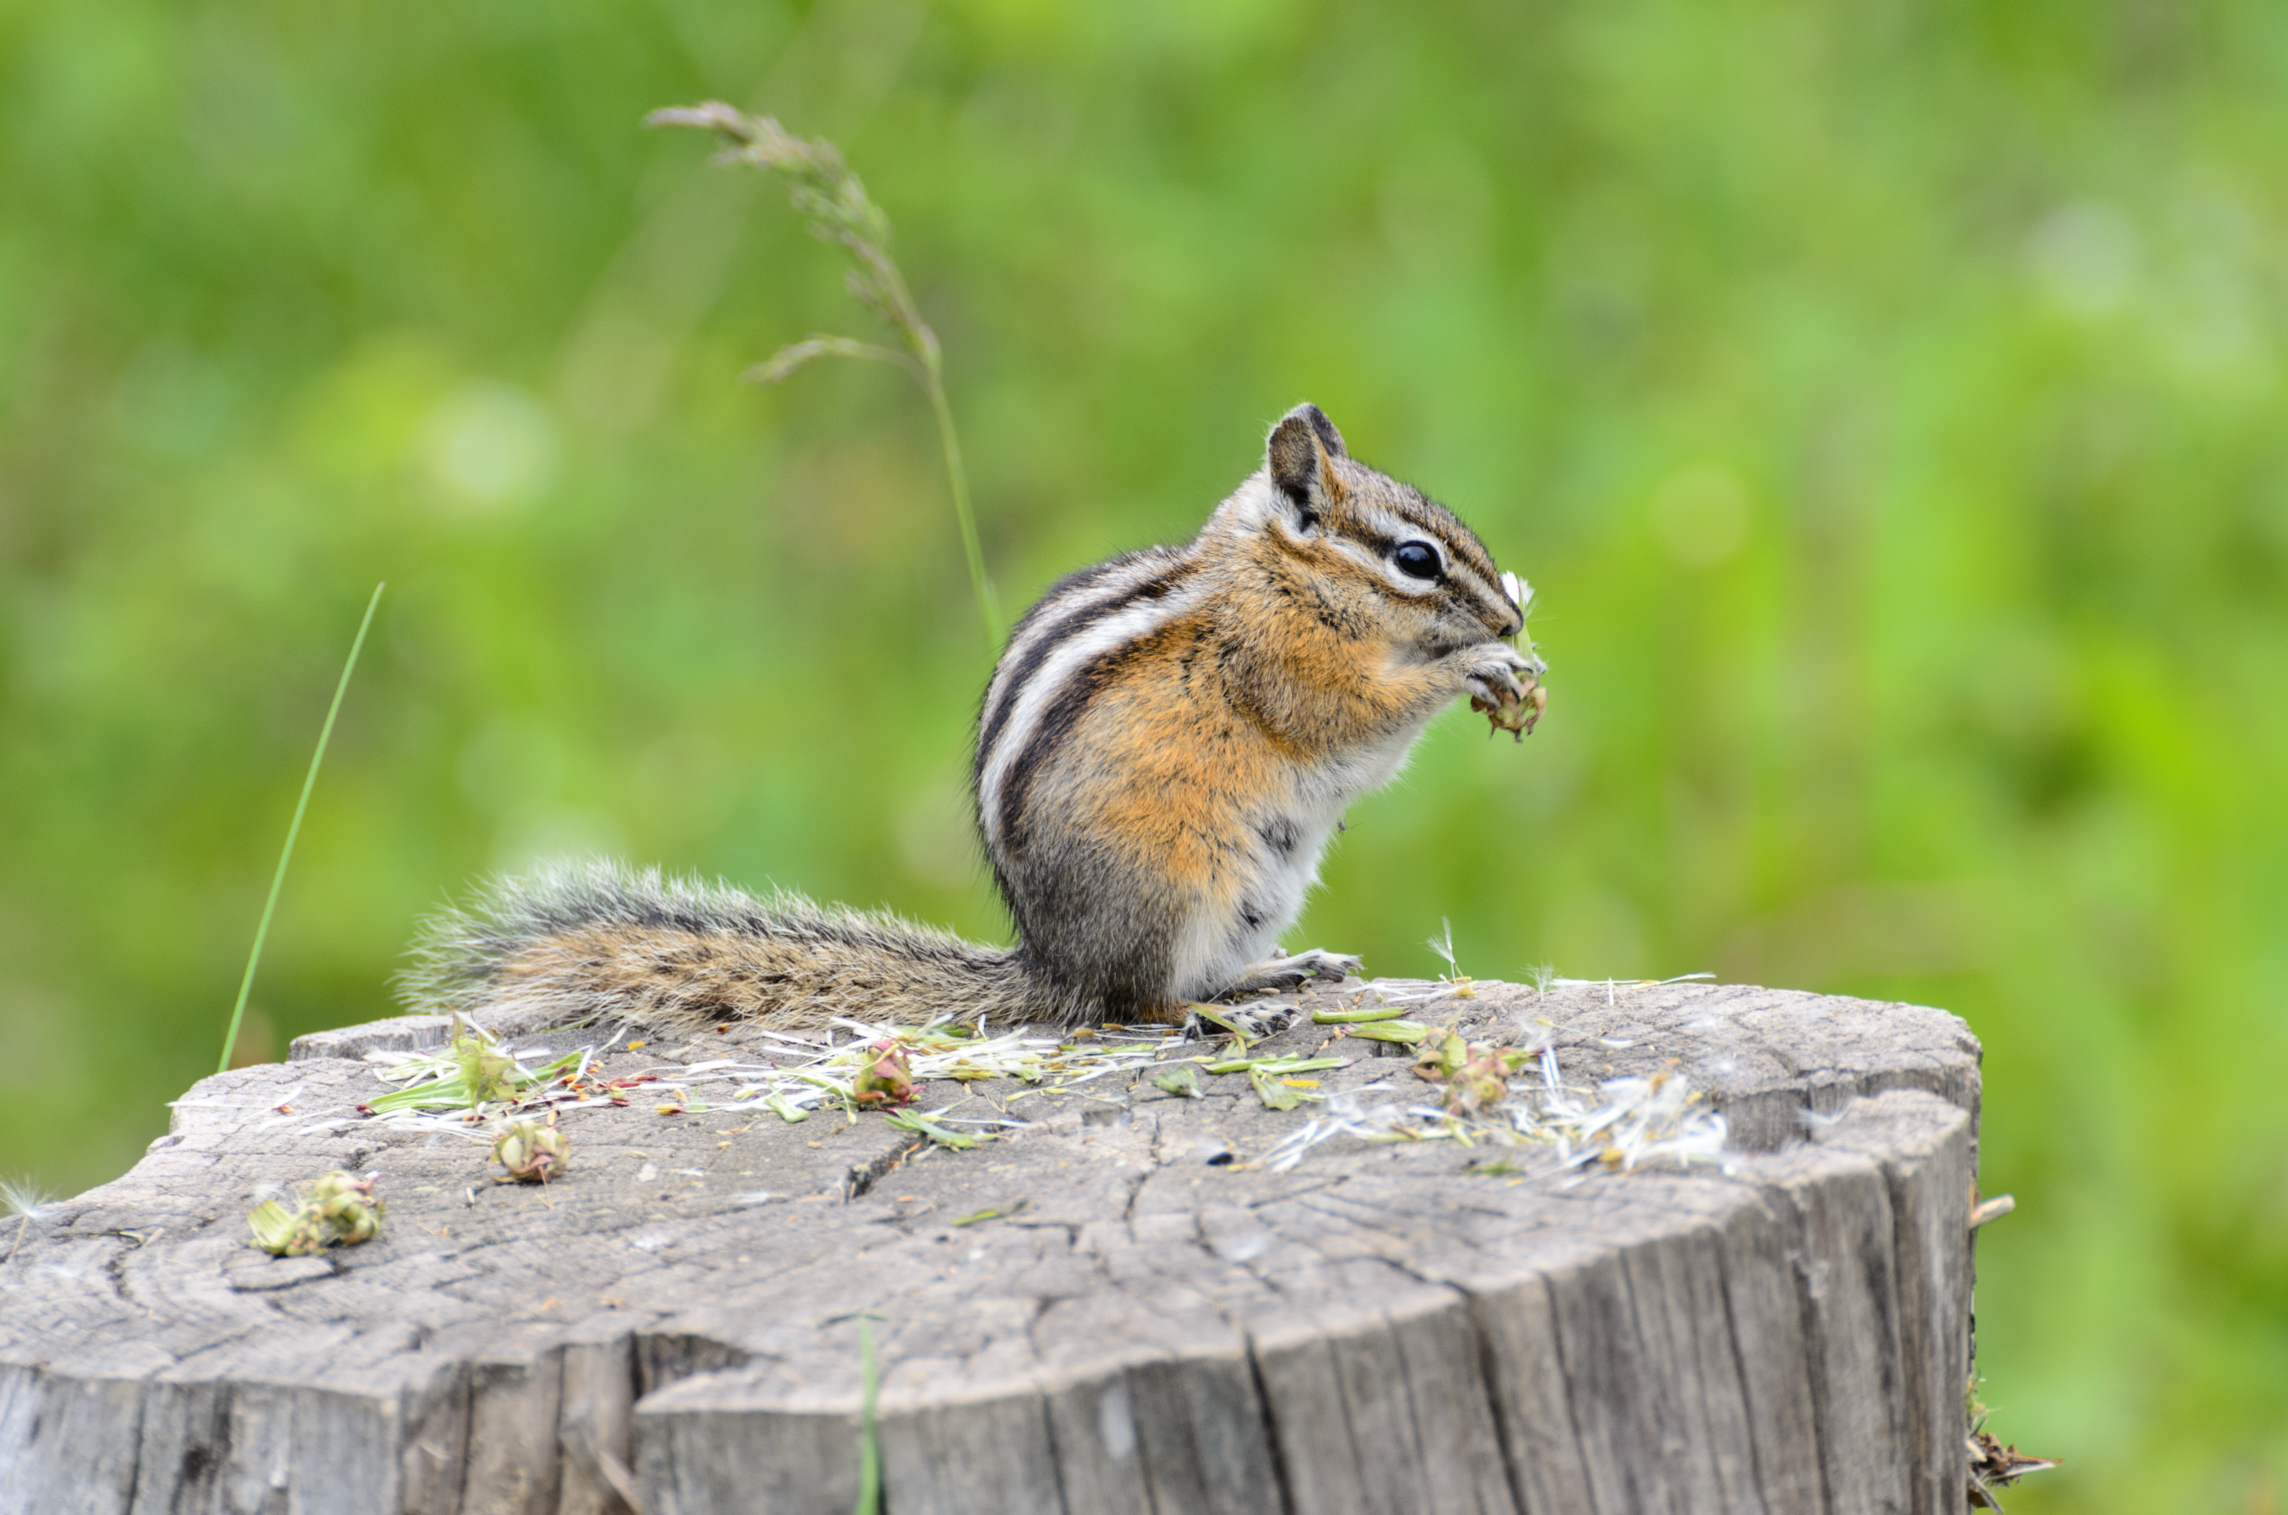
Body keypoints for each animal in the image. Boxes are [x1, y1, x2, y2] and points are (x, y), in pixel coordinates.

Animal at [403, 403, 1543, 1036]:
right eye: (1415, 560)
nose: (1509, 613)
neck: (1271, 576)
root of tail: (1053, 965)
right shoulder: (1285, 668)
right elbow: (1355, 718)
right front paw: (1476, 665)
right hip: (1175, 885)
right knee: (1137, 1003)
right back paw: (1221, 1010)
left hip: (1254, 893)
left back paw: (1280, 971)